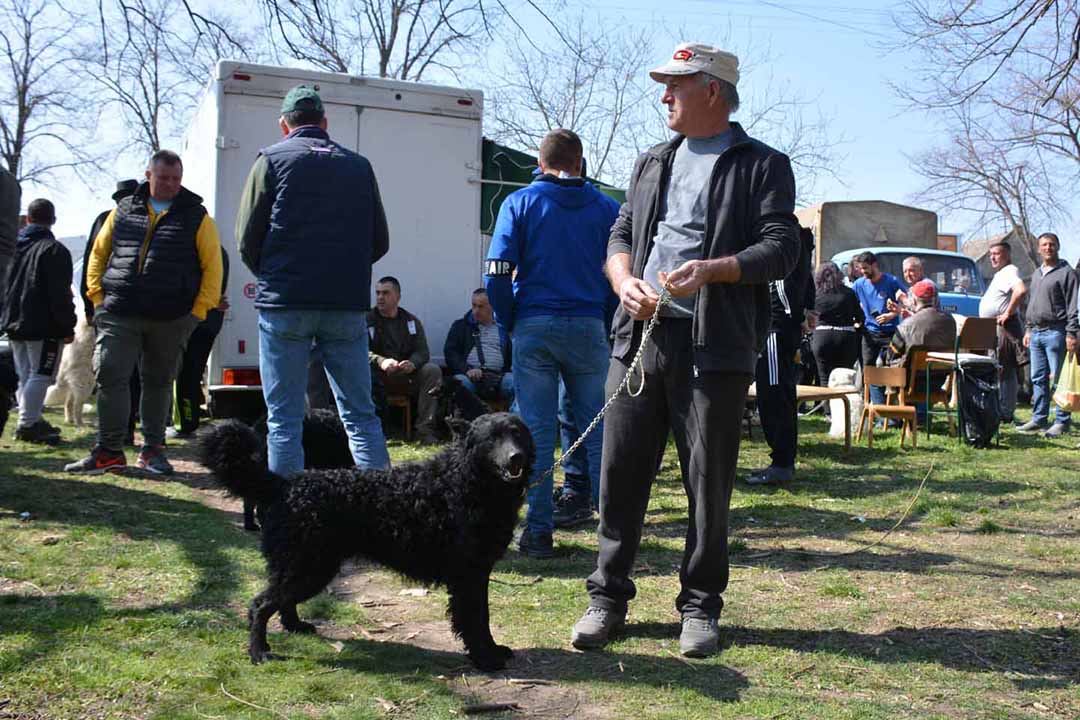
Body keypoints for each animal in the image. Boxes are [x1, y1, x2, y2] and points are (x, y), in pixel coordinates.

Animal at [199, 414, 535, 673]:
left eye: (517, 434)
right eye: (491, 439)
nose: (515, 457)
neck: (464, 481)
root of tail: (285, 485)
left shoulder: (478, 574)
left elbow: (483, 619)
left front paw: (493, 650)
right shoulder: (468, 576)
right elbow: (475, 620)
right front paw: (485, 659)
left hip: (304, 567)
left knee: (281, 601)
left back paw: (295, 627)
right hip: (307, 567)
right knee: (259, 606)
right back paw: (259, 652)